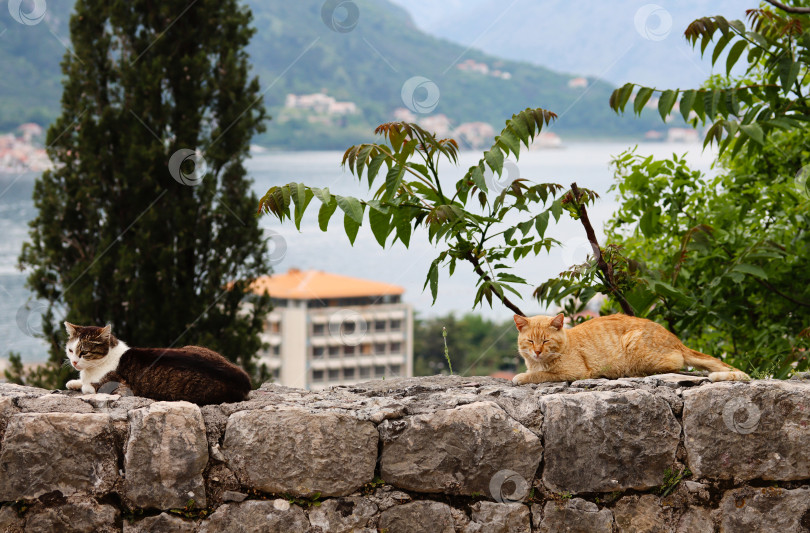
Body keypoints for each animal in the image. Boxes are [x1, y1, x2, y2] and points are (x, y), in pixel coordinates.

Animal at [64, 320, 249, 404]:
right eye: (71, 351)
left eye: (84, 353)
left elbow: (89, 387)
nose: (74, 363)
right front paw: (73, 382)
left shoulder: (121, 388)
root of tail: (243, 381)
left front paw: (83, 384)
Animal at [516, 312, 748, 382]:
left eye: (546, 341)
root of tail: (675, 339)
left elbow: (541, 375)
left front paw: (521, 376)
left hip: (636, 346)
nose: (537, 352)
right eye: (530, 341)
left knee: (676, 363)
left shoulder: (575, 372)